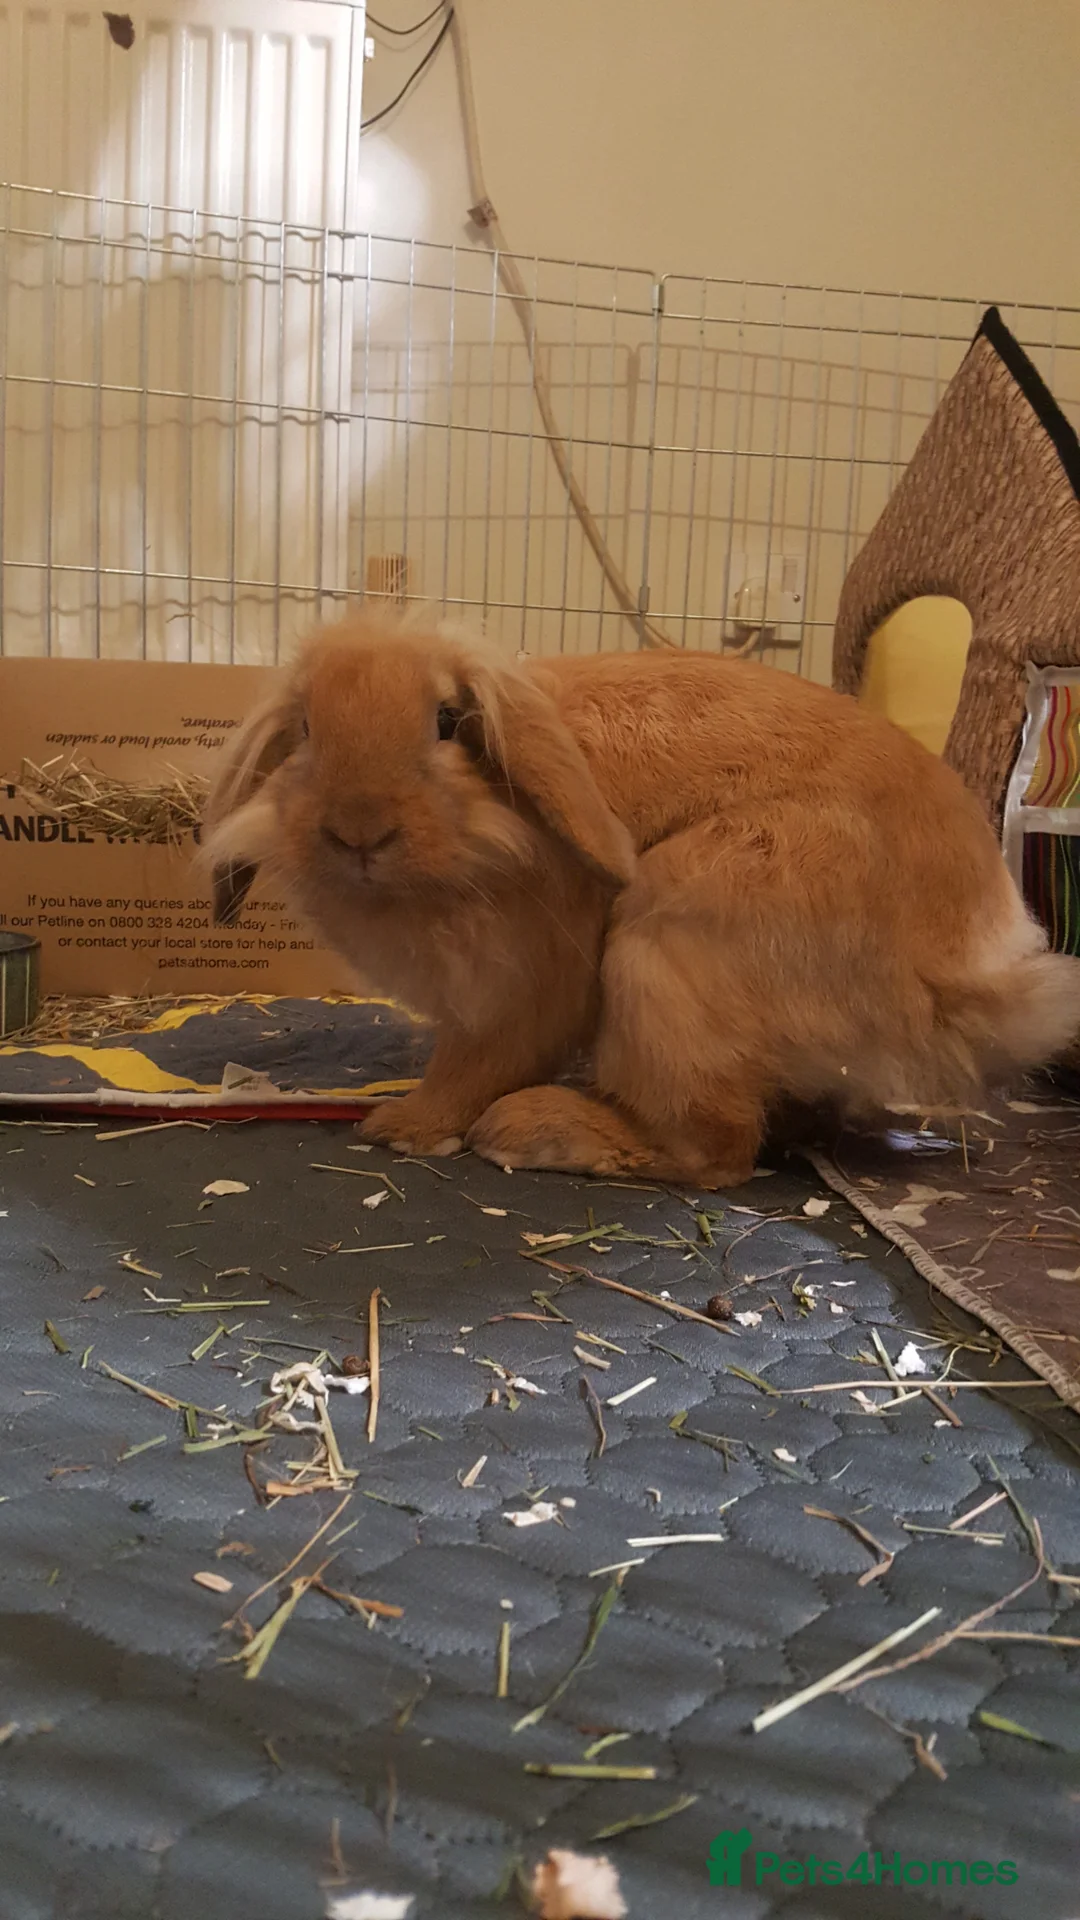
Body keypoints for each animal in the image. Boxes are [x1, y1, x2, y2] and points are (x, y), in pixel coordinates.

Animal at [200, 611, 1080, 1188]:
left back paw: (541, 1131)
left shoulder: (519, 993)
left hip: (665, 943)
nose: (358, 831)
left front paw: (403, 1127)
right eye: (305, 730)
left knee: (714, 1152)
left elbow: (475, 1065)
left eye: (447, 722)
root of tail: (967, 984)